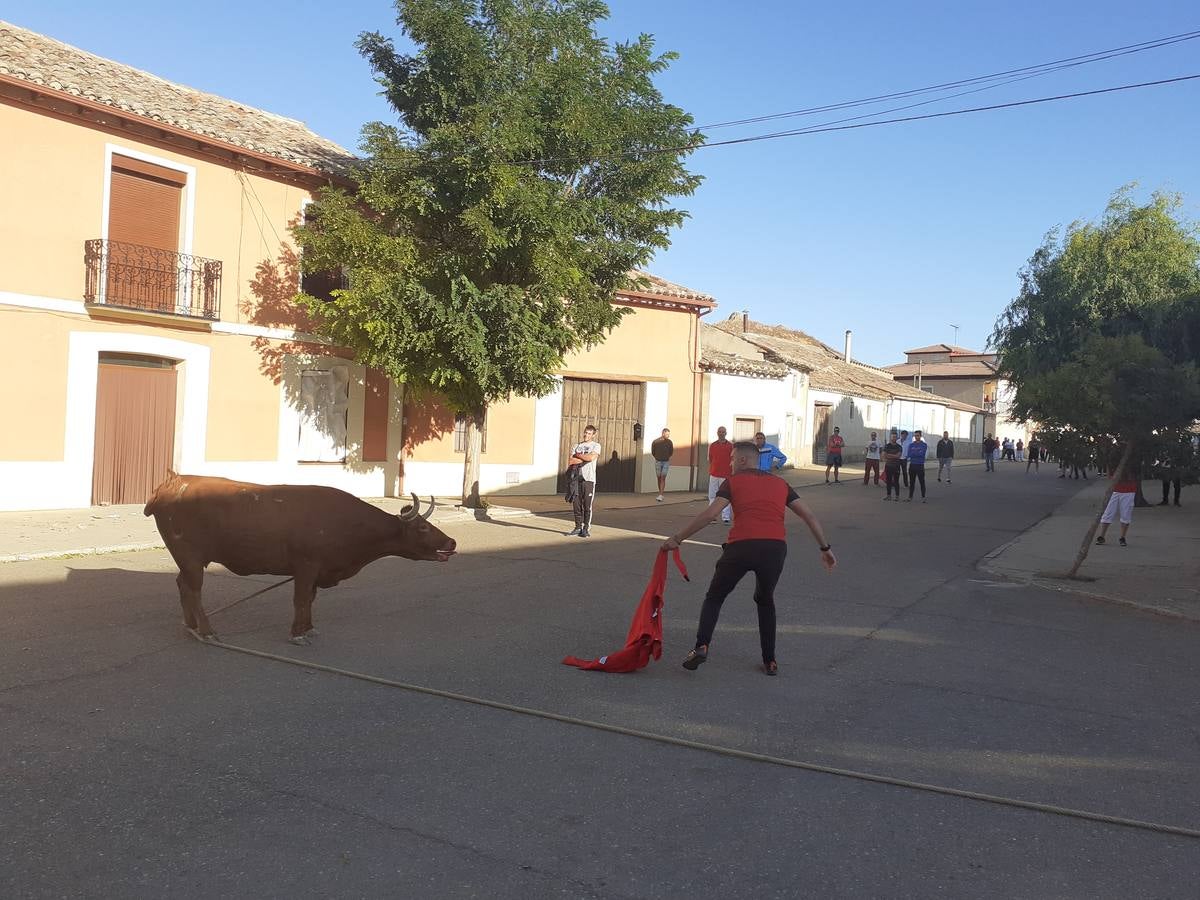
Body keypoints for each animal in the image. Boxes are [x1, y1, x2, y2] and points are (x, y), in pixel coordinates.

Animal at [144, 473, 457, 644]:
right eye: (423, 527)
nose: (452, 542)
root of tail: (174, 483)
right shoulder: (306, 567)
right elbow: (301, 599)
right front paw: (297, 634)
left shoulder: (317, 571)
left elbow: (310, 601)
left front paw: (309, 628)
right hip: (191, 557)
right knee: (194, 590)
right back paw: (207, 631)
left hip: (189, 560)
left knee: (182, 585)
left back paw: (191, 626)